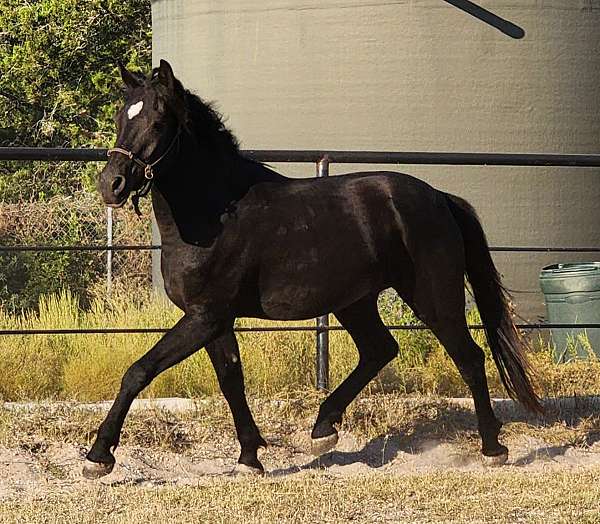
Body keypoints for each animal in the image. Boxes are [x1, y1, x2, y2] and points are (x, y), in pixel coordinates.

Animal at [85, 60, 544, 478]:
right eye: (120, 118)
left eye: (158, 121)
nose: (111, 184)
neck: (216, 213)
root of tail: (441, 198)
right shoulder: (212, 319)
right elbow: (231, 381)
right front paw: (250, 458)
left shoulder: (206, 316)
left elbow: (139, 371)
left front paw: (99, 457)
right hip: (355, 301)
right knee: (380, 350)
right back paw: (324, 427)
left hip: (433, 297)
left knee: (469, 357)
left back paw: (492, 448)